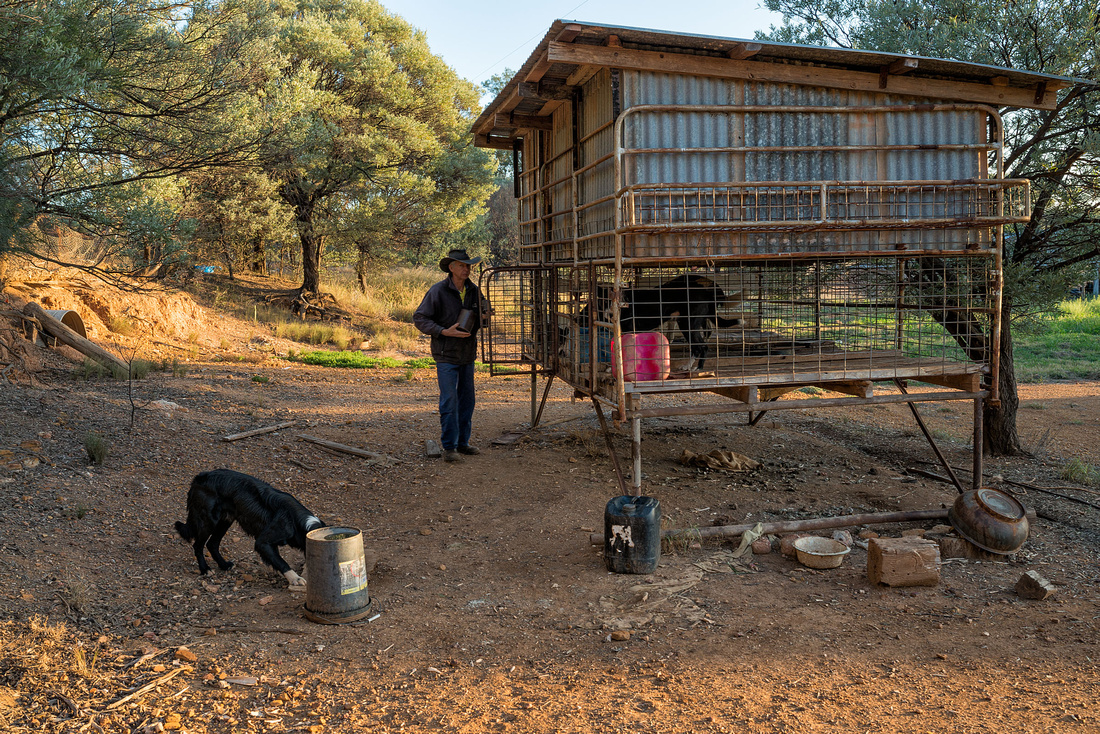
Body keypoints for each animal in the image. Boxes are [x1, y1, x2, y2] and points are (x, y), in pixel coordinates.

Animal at [173, 473, 321, 589]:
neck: (298, 522)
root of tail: (198, 478)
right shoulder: (263, 542)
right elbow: (281, 561)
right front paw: (295, 578)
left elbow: (276, 559)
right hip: (209, 521)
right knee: (198, 545)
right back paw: (205, 569)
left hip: (225, 521)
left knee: (212, 544)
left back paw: (223, 565)